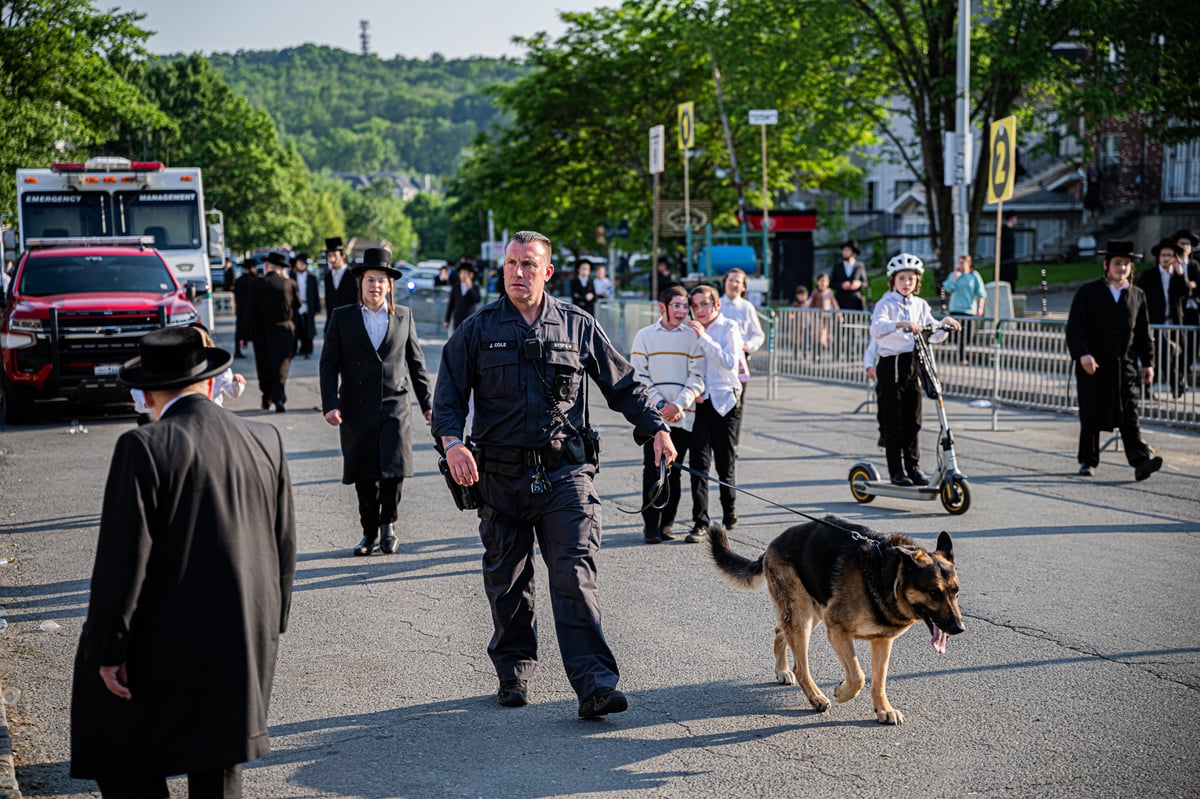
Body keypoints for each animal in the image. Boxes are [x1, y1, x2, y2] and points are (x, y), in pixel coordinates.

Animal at [705, 515, 960, 719]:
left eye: (956, 592)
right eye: (934, 592)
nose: (960, 628)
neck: (888, 575)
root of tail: (772, 545)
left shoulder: (882, 640)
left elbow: (878, 681)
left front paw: (883, 710)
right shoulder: (837, 630)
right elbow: (858, 676)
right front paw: (842, 692)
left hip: (810, 614)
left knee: (779, 631)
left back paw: (782, 670)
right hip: (803, 618)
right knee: (801, 667)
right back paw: (816, 698)